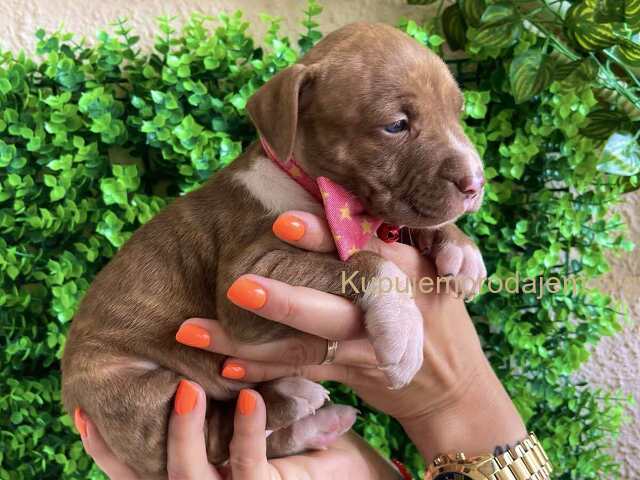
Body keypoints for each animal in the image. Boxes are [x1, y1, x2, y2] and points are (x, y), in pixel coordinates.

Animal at [61, 22, 486, 478]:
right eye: (396, 125)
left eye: (458, 113)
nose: (476, 182)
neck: (310, 185)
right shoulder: (248, 279)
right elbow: (369, 260)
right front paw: (403, 328)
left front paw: (461, 250)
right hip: (133, 389)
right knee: (217, 428)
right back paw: (292, 398)